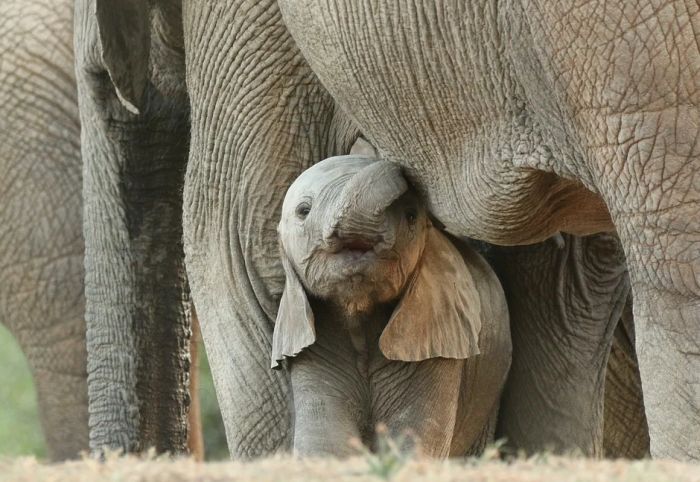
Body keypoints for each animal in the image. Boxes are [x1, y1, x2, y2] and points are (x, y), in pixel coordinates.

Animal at [272, 154, 508, 456]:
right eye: (303, 211)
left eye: (411, 217)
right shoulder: (311, 347)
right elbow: (324, 442)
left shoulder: (438, 343)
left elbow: (414, 437)